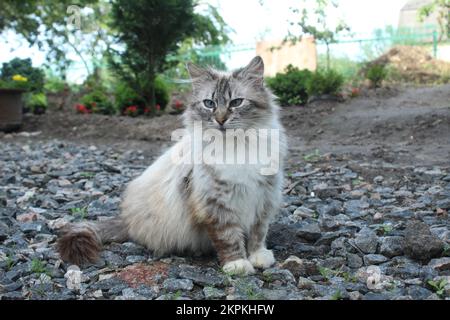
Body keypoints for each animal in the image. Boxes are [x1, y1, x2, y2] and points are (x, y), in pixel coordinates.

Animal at [58, 55, 286, 276]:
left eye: (236, 102)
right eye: (209, 103)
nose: (220, 120)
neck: (236, 147)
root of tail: (127, 220)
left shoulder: (264, 198)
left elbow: (258, 234)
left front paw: (258, 257)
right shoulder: (215, 204)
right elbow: (229, 238)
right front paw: (237, 264)